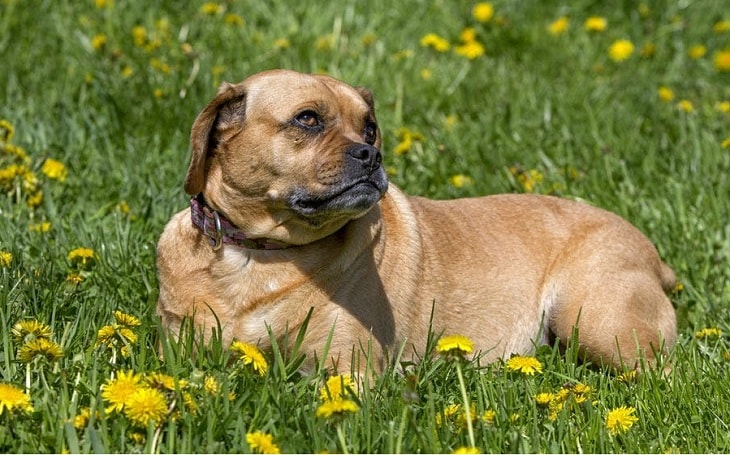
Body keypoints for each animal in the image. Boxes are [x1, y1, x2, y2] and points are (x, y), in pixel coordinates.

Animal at [155, 69, 676, 376]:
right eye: (308, 120)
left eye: (369, 127)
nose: (372, 154)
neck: (257, 253)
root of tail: (651, 252)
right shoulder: (175, 351)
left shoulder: (348, 369)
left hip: (595, 321)